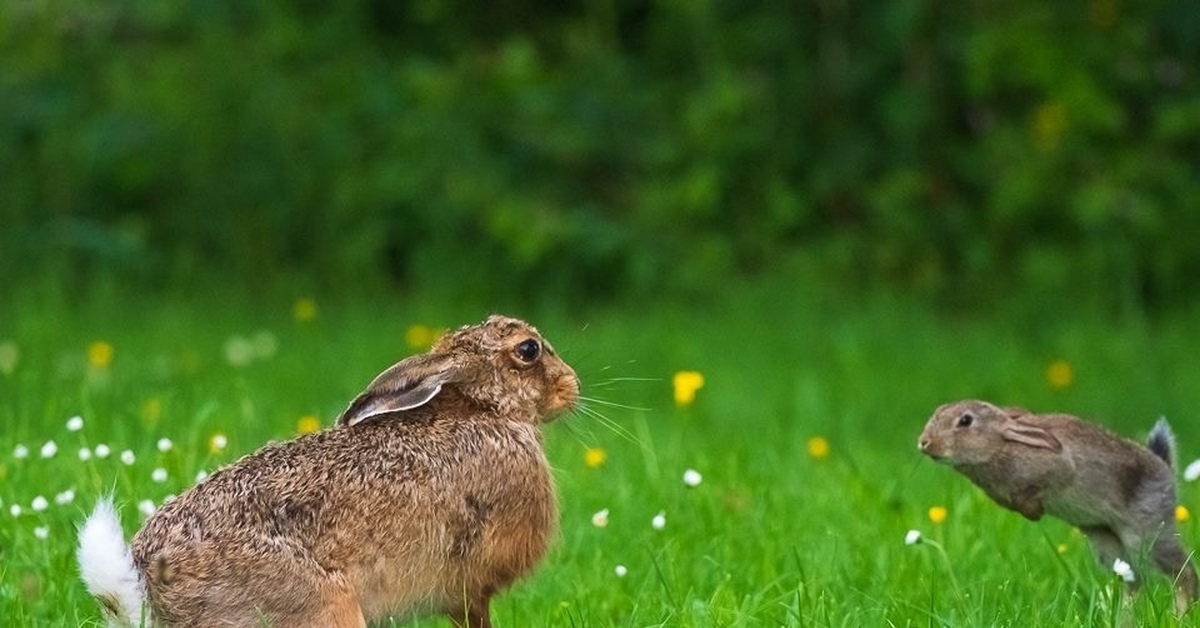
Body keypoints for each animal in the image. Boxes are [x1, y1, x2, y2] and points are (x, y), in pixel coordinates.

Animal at [76, 317, 580, 624]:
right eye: (529, 350)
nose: (572, 384)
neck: (483, 409)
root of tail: (146, 583)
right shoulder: (474, 583)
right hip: (320, 609)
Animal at [916, 401, 1190, 612]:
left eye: (965, 421)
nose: (924, 442)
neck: (1000, 444)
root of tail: (1166, 470)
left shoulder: (1059, 469)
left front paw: (1035, 512)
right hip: (1108, 544)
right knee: (1134, 581)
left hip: (1145, 531)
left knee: (1183, 571)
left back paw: (1181, 613)